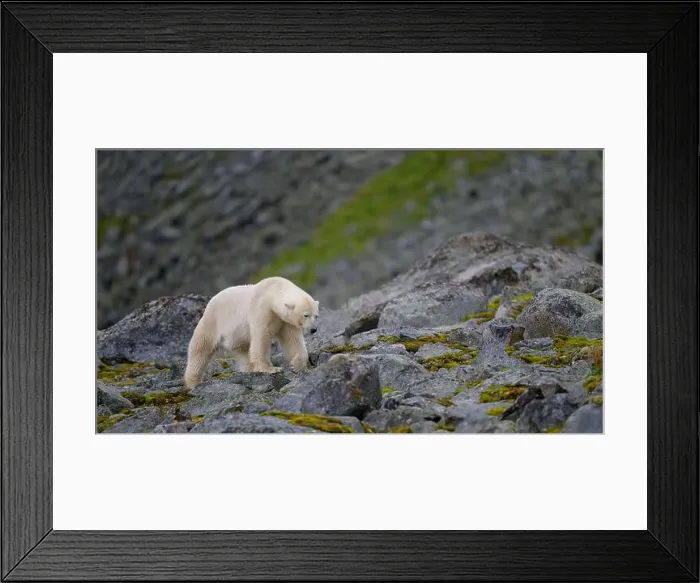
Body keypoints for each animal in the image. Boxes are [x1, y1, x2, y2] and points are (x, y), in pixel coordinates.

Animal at [183, 276, 319, 389]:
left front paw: (297, 365)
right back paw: (193, 381)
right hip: (213, 321)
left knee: (242, 351)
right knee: (201, 348)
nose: (313, 329)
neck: (272, 290)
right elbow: (261, 339)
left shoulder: (284, 320)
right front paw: (271, 369)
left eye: (316, 316)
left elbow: (293, 340)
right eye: (305, 315)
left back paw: (251, 369)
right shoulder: (262, 310)